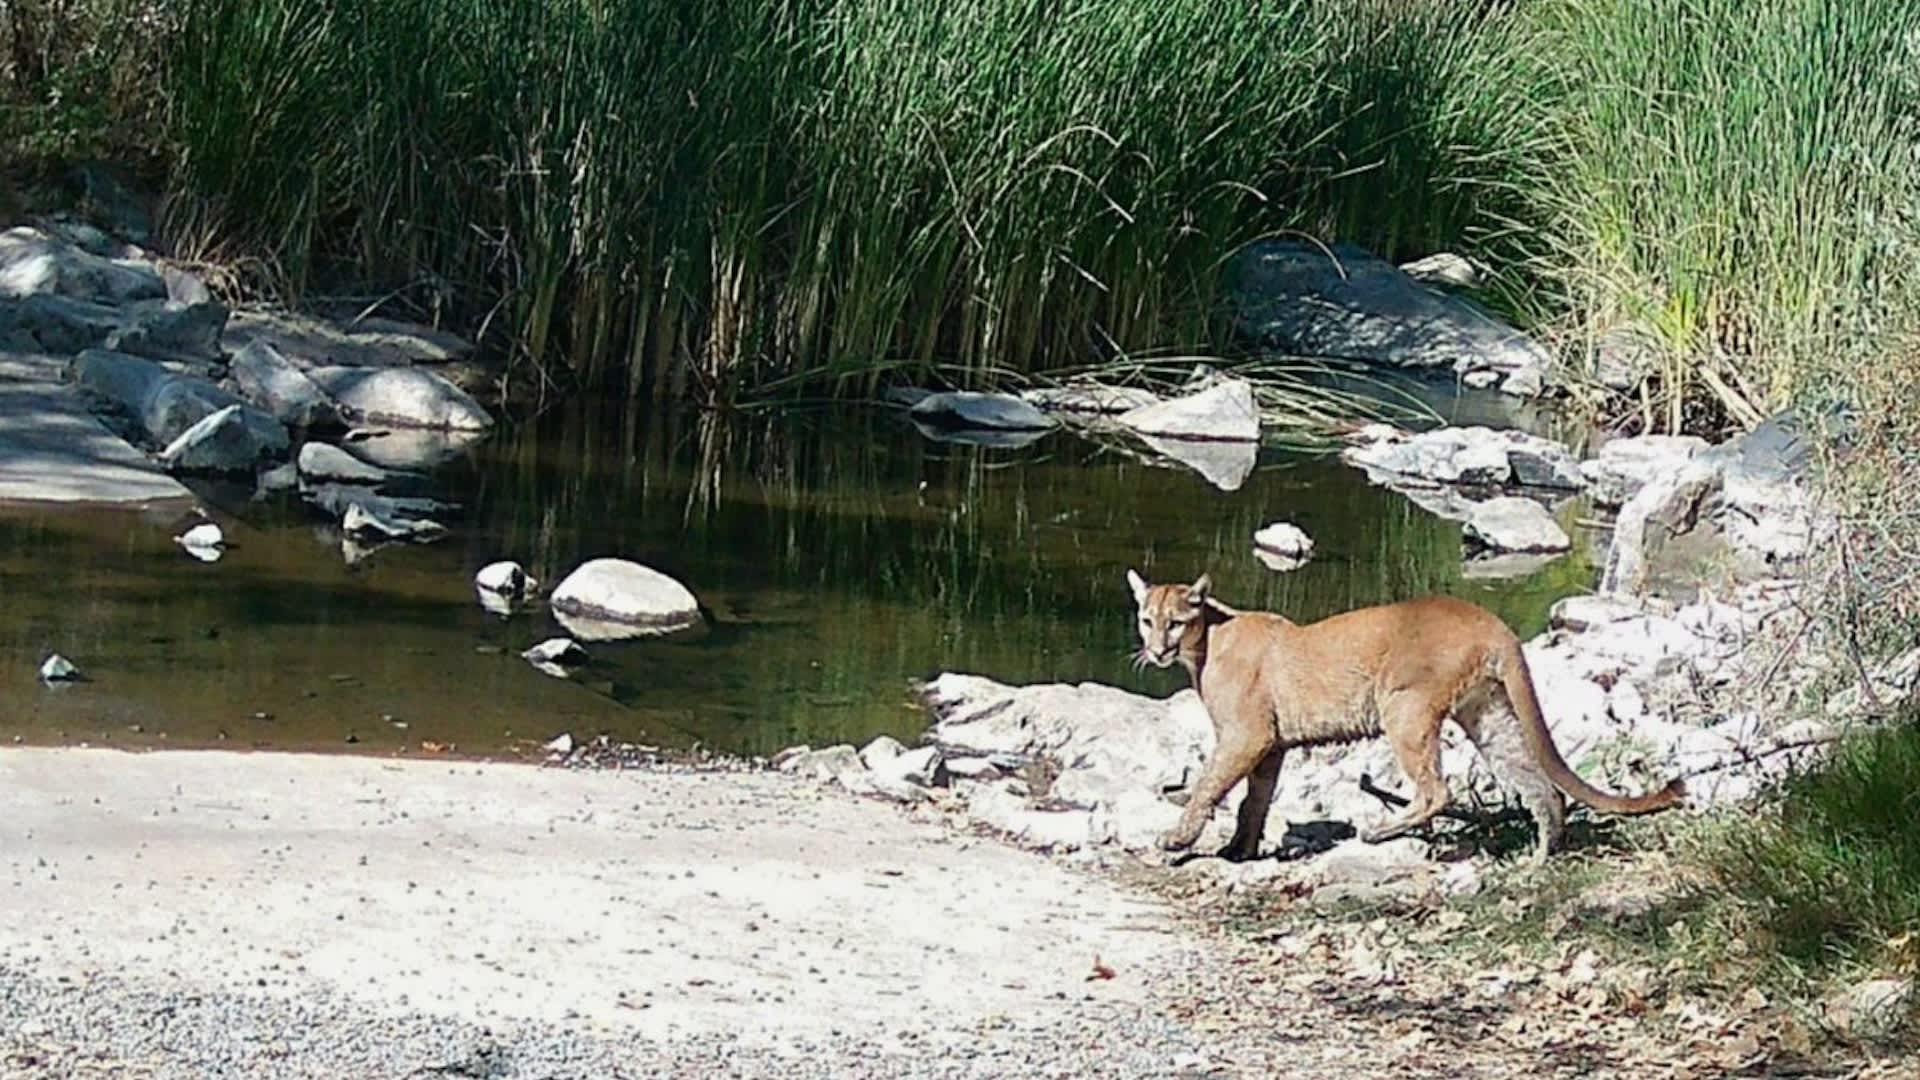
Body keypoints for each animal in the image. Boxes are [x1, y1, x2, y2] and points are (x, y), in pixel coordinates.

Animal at [1127, 569, 1685, 863]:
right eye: (1146, 619)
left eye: (1174, 623)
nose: (1155, 650)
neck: (1206, 640)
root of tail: (1487, 618)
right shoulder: (1271, 744)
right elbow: (1254, 801)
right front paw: (1239, 850)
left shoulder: (1247, 734)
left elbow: (1209, 785)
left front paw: (1179, 839)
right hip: (1488, 713)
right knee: (1541, 785)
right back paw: (1541, 858)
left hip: (1404, 708)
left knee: (1438, 790)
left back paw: (1379, 831)